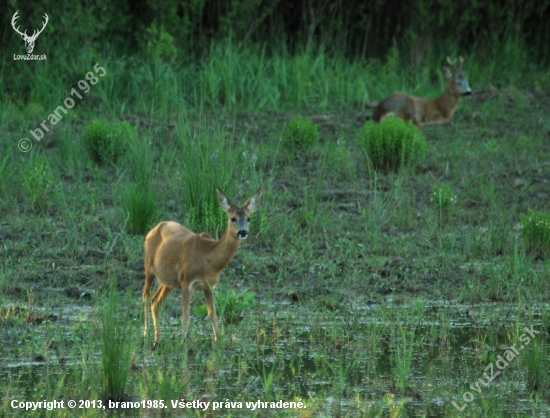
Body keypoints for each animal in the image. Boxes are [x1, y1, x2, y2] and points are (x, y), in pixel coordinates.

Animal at [142, 187, 264, 346]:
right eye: (233, 218)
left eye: (249, 218)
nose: (243, 232)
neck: (208, 261)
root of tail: (153, 229)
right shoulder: (186, 281)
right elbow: (186, 317)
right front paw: (182, 343)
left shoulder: (209, 286)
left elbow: (212, 314)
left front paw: (218, 342)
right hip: (148, 267)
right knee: (145, 296)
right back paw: (146, 333)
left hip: (168, 280)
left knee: (155, 301)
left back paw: (157, 338)